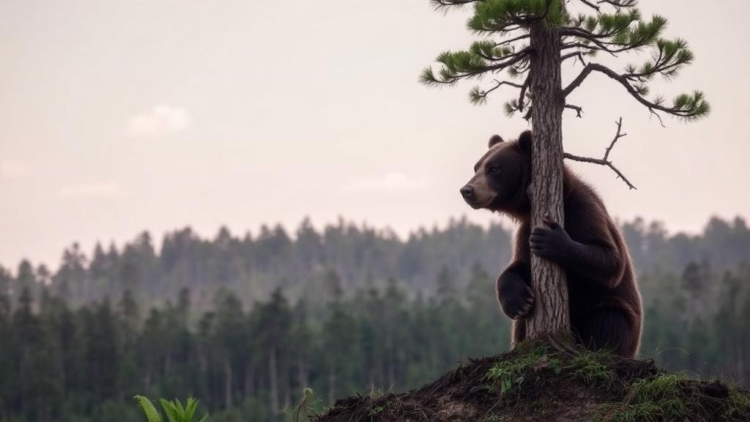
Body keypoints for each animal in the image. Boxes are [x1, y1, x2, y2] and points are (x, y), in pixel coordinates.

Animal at [460, 131, 643, 358]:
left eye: (494, 168)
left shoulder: (582, 211)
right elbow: (520, 263)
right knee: (521, 326)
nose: (467, 190)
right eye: (476, 167)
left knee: (609, 319)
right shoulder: (526, 227)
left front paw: (551, 240)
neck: (528, 206)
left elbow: (610, 259)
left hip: (618, 315)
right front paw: (517, 302)